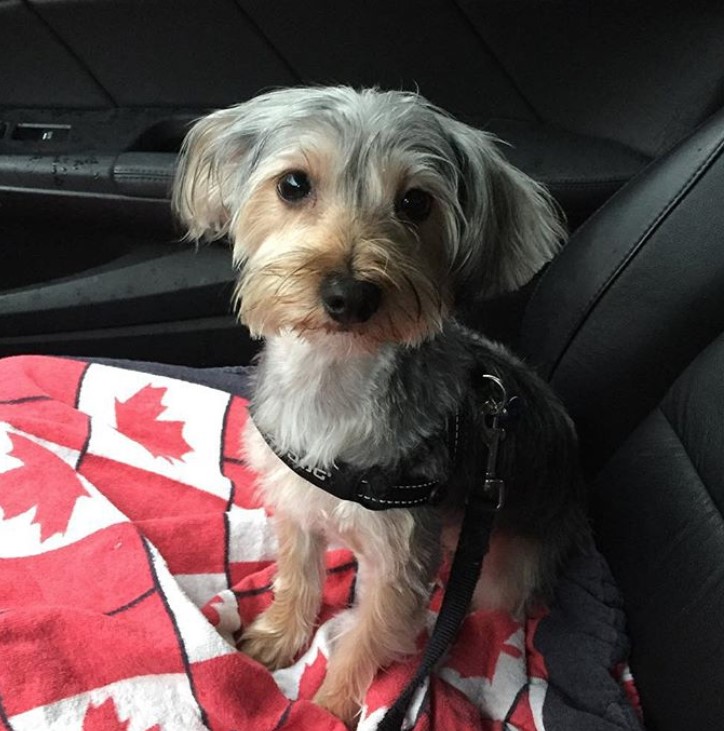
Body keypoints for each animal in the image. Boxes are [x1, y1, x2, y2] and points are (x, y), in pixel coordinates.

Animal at [174, 87, 588, 728]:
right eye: (293, 185)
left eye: (416, 202)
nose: (349, 294)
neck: (332, 379)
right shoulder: (297, 502)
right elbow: (298, 573)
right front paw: (280, 635)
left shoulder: (399, 556)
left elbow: (367, 638)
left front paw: (328, 706)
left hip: (504, 565)